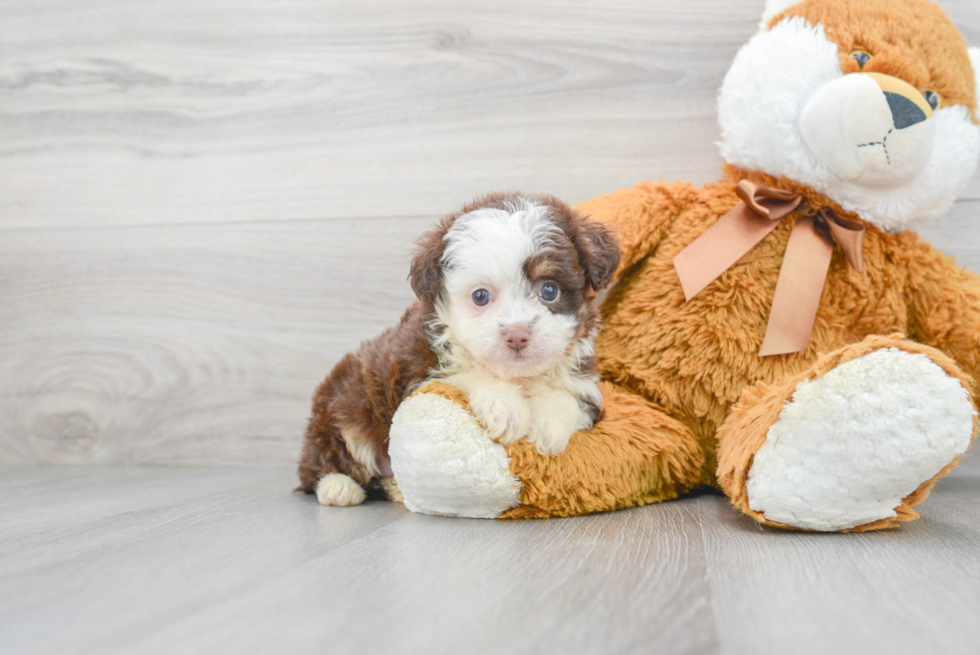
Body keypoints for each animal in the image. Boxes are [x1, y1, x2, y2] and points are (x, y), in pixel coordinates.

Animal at [298, 192, 620, 510]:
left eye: (549, 290)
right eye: (480, 296)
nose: (517, 335)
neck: (517, 376)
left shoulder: (583, 375)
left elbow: (568, 394)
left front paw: (548, 422)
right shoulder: (416, 370)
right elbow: (464, 373)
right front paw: (504, 406)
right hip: (345, 407)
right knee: (324, 460)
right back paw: (337, 486)